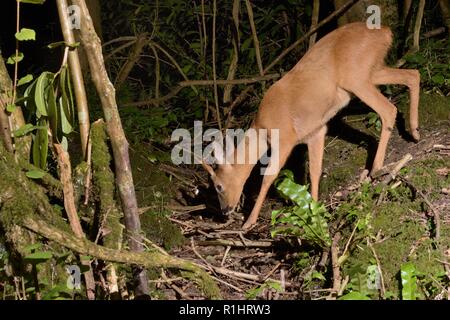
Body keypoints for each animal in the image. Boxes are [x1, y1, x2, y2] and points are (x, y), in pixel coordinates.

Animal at [202, 22, 420, 230]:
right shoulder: (316, 132)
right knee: (413, 74)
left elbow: (269, 176)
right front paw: (315, 211)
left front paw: (249, 221)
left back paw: (377, 167)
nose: (225, 210)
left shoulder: (285, 137)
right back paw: (415, 132)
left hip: (356, 77)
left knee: (389, 109)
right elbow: (315, 171)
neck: (261, 129)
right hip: (372, 70)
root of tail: (385, 32)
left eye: (218, 186)